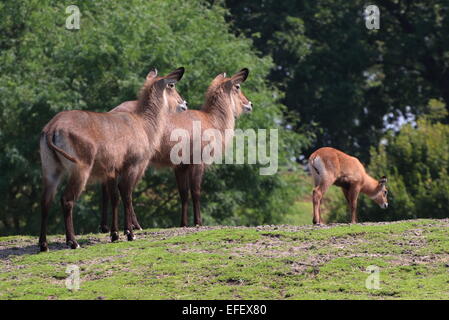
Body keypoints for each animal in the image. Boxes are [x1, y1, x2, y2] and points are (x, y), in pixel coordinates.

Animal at [38, 67, 185, 251]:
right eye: (172, 85)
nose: (184, 104)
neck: (143, 123)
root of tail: (52, 127)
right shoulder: (132, 166)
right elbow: (126, 194)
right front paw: (130, 233)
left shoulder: (111, 171)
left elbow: (115, 197)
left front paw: (115, 234)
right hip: (80, 171)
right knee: (66, 199)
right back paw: (73, 242)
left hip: (51, 170)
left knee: (45, 202)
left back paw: (43, 245)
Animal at [101, 68, 252, 228]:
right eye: (237, 86)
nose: (250, 104)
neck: (212, 120)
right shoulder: (197, 162)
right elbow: (196, 191)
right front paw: (198, 222)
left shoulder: (181, 165)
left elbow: (184, 193)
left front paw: (183, 223)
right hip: (137, 163)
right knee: (124, 189)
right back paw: (135, 226)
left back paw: (106, 226)